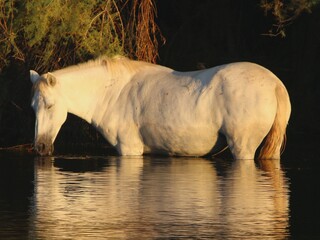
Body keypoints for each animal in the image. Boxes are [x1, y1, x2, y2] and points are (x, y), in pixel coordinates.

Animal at [29, 55, 290, 158]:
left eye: (50, 106)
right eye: (33, 107)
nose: (40, 147)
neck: (112, 93)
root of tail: (274, 83)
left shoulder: (129, 149)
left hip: (243, 148)